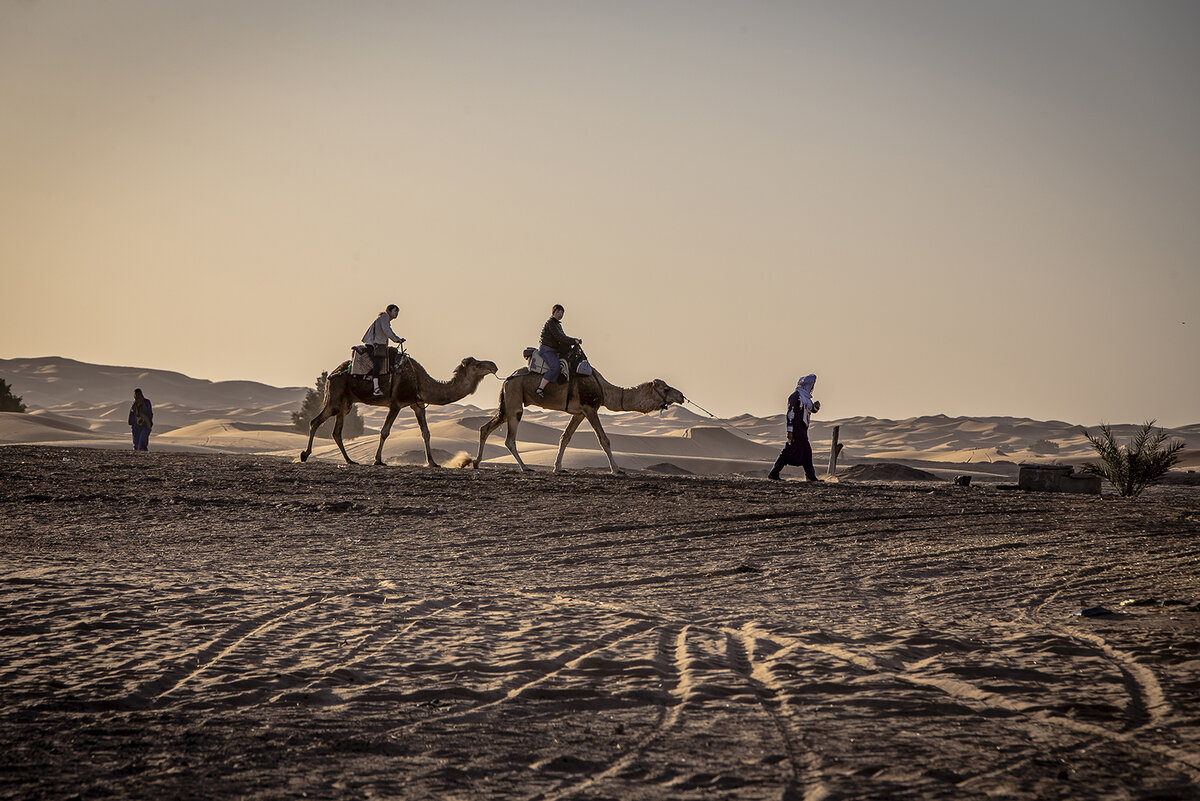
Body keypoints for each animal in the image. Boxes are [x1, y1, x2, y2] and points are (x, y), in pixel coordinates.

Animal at [304, 352, 501, 465]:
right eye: (477, 364)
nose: (494, 365)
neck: (420, 382)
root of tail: (331, 374)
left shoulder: (418, 405)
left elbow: (426, 433)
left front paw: (432, 462)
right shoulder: (396, 403)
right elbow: (384, 431)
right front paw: (378, 460)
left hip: (346, 402)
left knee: (336, 431)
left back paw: (350, 460)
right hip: (336, 396)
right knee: (315, 421)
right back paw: (305, 455)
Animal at [475, 364, 686, 472]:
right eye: (666, 389)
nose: (682, 396)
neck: (604, 390)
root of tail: (507, 379)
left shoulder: (578, 413)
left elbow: (565, 438)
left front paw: (558, 467)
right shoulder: (590, 408)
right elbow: (604, 439)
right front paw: (616, 469)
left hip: (508, 402)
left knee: (486, 427)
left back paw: (476, 462)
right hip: (515, 397)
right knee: (510, 438)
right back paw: (525, 467)